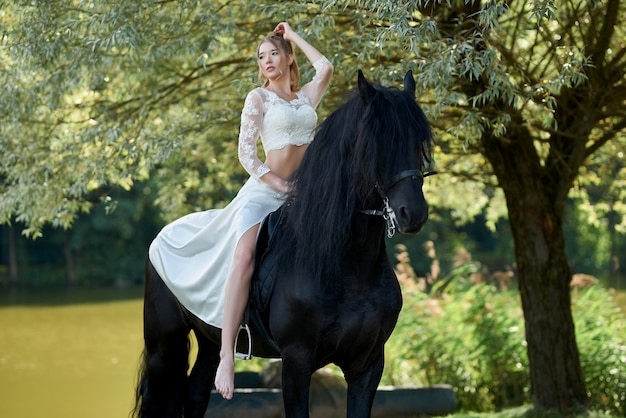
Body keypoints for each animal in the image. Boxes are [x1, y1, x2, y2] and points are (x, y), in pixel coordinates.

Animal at [134, 70, 432, 416]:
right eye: (377, 142)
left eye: (418, 141)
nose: (413, 213)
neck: (349, 267)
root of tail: (160, 237)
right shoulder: (296, 362)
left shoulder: (368, 365)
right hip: (163, 346)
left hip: (210, 342)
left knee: (195, 394)